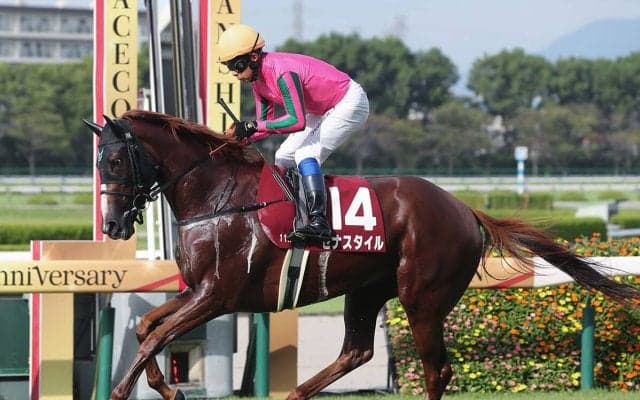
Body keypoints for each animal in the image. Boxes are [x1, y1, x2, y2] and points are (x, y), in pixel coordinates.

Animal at [84, 110, 640, 400]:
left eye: (115, 160)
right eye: (98, 161)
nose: (112, 225)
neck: (218, 196)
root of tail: (464, 207)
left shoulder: (219, 295)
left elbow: (157, 336)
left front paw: (123, 391)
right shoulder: (197, 291)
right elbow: (147, 328)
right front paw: (168, 387)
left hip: (422, 297)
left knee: (436, 369)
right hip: (366, 290)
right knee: (357, 350)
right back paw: (296, 394)